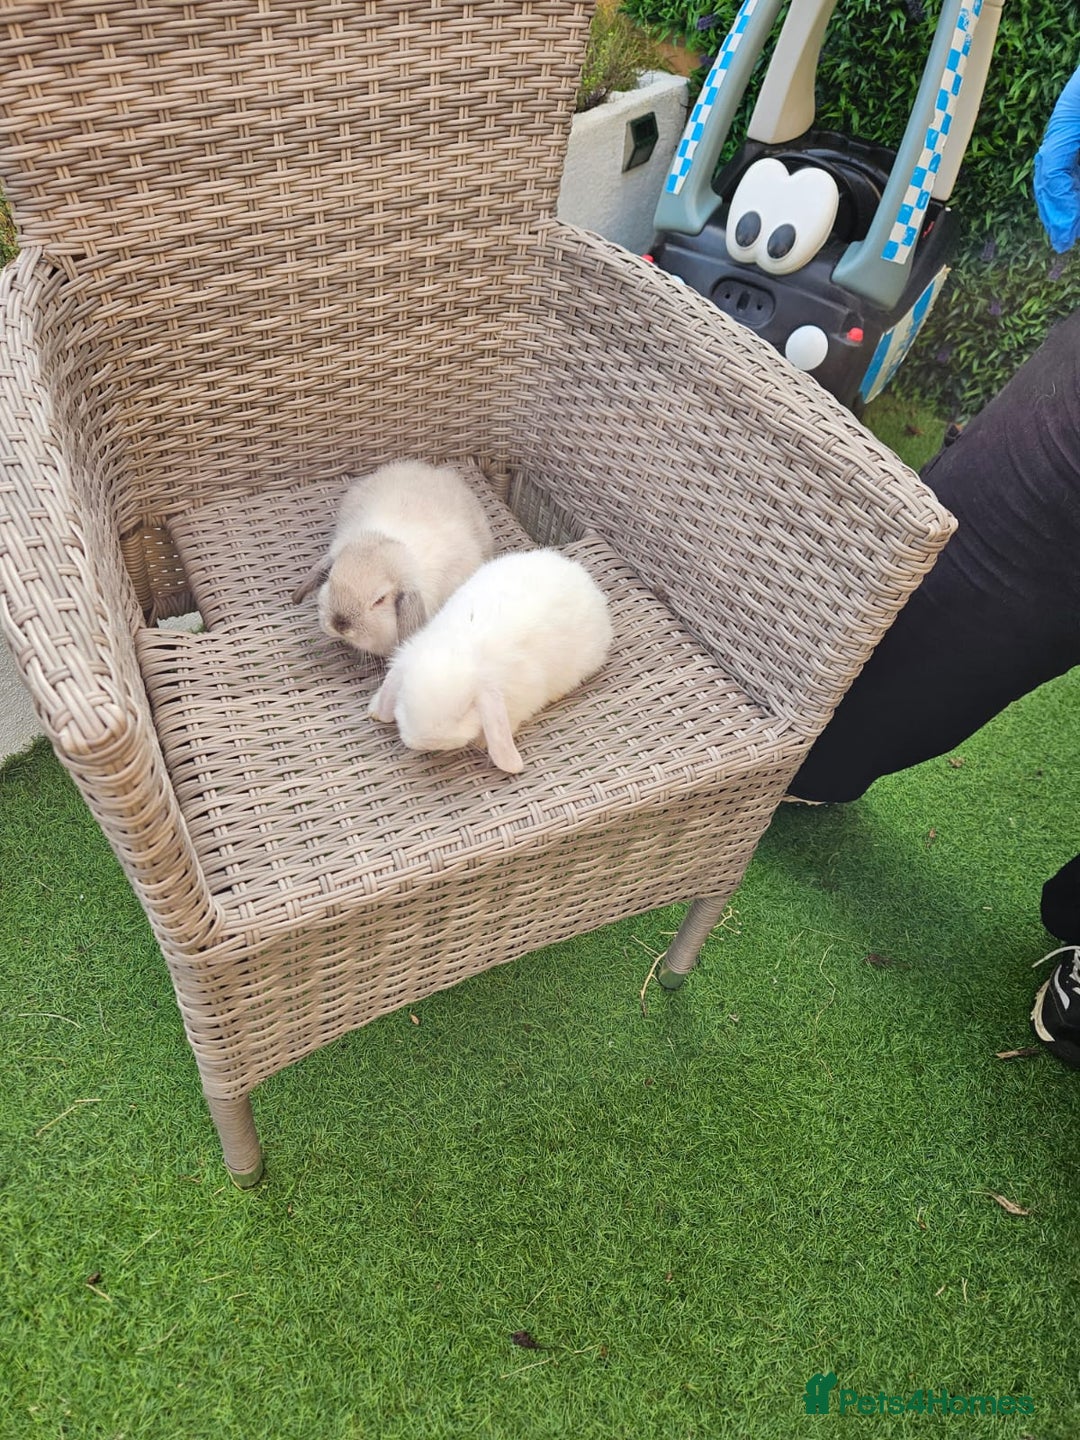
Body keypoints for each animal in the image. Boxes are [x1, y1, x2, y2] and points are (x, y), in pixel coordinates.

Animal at [368, 548, 614, 774]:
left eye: (466, 710)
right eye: (405, 703)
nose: (430, 742)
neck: (458, 647)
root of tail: (577, 572)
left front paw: (483, 742)